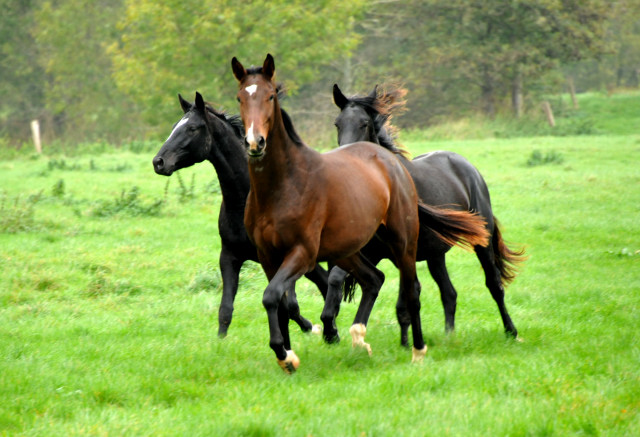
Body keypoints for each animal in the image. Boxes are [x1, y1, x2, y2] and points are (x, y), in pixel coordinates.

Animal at [152, 91, 328, 338]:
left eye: (192, 128)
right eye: (174, 126)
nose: (158, 162)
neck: (243, 200)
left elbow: (286, 305)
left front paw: (310, 327)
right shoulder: (229, 256)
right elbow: (226, 309)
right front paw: (220, 341)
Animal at [232, 52, 488, 370]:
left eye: (269, 96)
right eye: (240, 97)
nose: (255, 142)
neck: (284, 187)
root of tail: (392, 164)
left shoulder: (302, 253)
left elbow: (271, 296)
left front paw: (285, 352)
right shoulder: (268, 255)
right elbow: (278, 301)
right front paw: (288, 356)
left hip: (404, 243)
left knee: (413, 292)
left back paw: (418, 350)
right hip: (351, 250)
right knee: (375, 279)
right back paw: (360, 340)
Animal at [330, 82, 524, 340]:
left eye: (364, 123)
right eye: (337, 123)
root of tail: (468, 168)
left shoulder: (401, 255)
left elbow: (406, 300)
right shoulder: (372, 252)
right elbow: (338, 277)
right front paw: (330, 327)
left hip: (481, 242)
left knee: (494, 284)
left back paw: (511, 331)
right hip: (435, 254)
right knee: (449, 293)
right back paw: (449, 336)